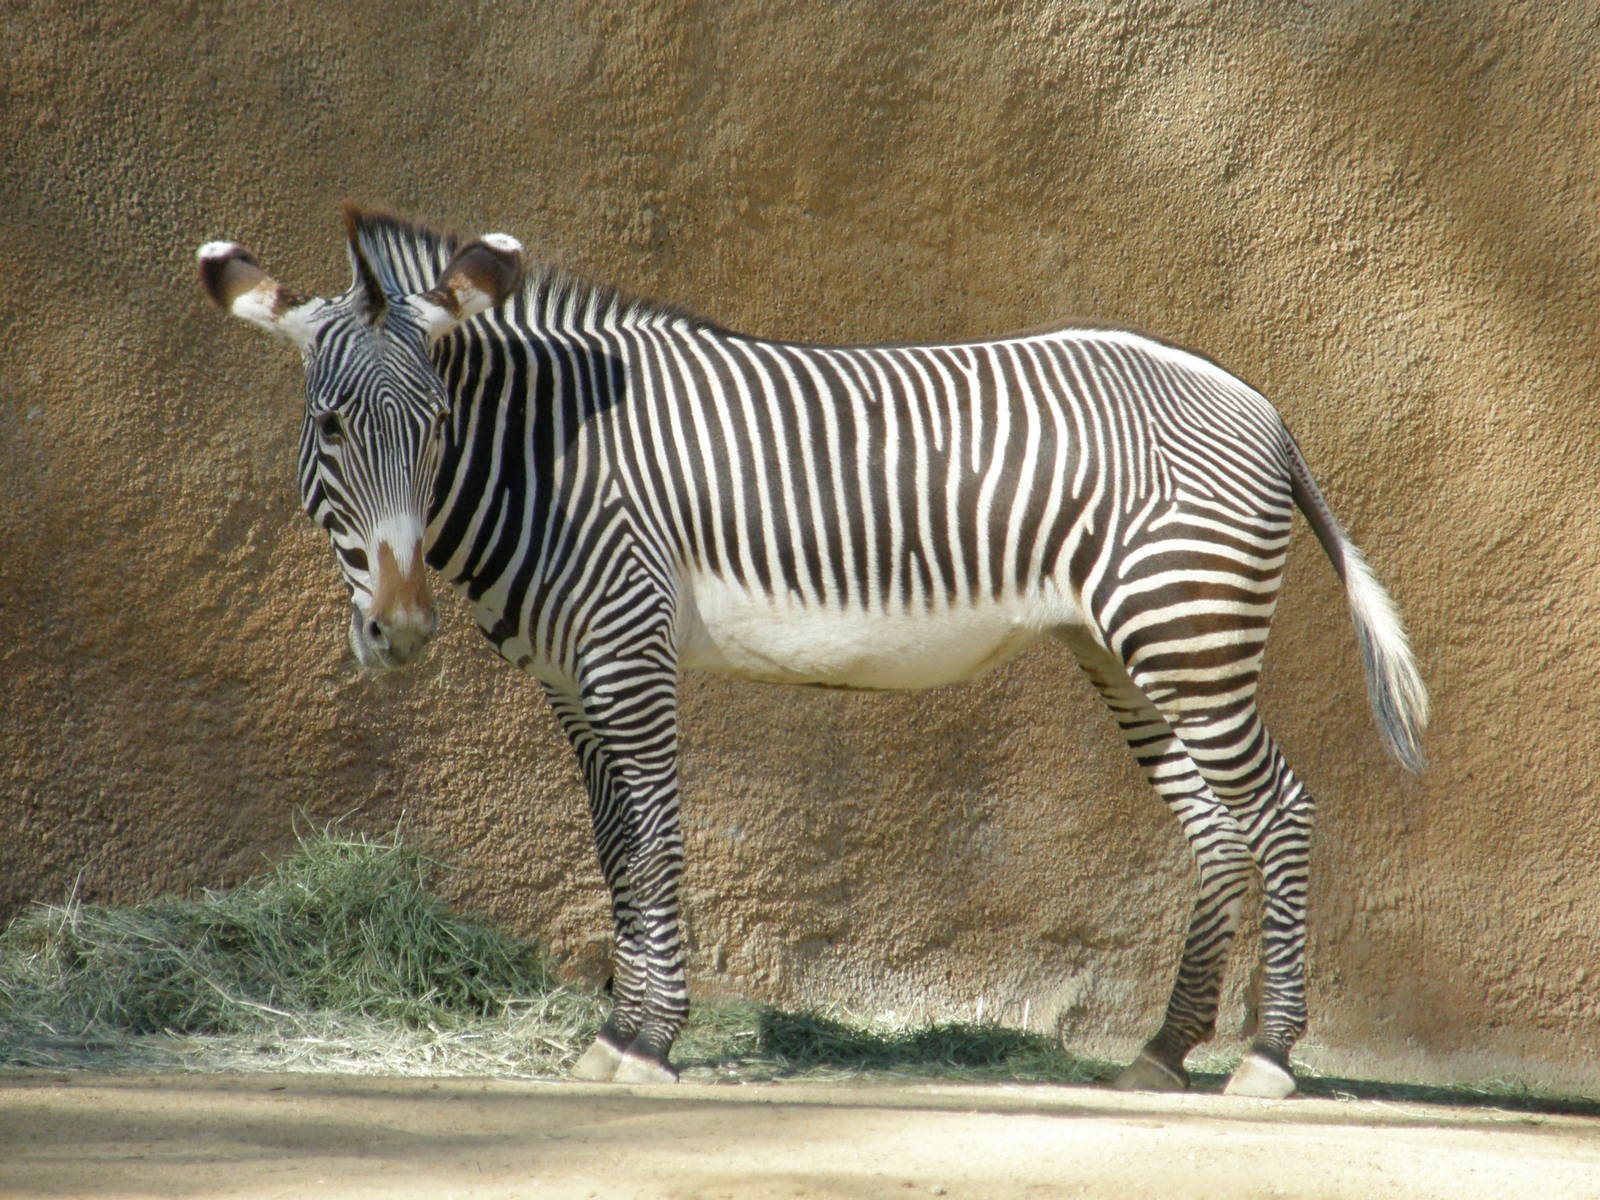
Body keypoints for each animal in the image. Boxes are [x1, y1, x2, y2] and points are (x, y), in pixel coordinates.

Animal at [196, 206, 1427, 1099]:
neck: (548, 461)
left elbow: (655, 844)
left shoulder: (628, 653)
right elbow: (612, 848)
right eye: (330, 428)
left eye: (440, 425)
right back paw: (1164, 1051)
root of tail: (1254, 399)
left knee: (1279, 809)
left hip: (1184, 629)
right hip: (1123, 649)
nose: (400, 631)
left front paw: (649, 1040)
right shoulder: (571, 685)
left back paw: (1267, 1057)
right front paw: (621, 1028)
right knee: (1218, 826)